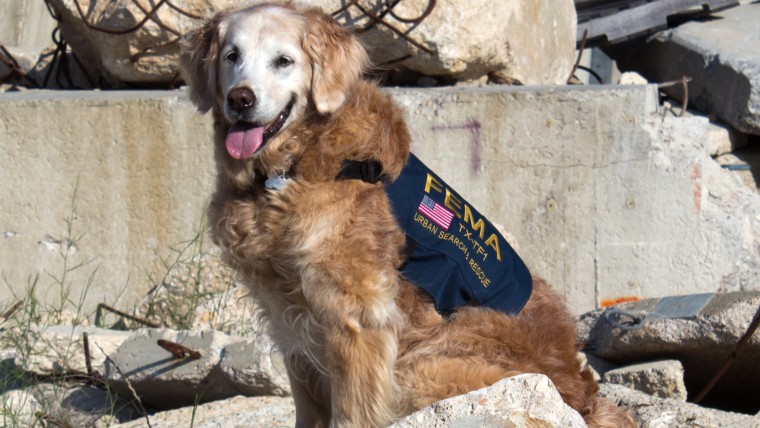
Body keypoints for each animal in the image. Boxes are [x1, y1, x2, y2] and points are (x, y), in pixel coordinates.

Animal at [180, 4, 636, 428]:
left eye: (283, 61)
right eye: (232, 56)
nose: (240, 99)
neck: (292, 167)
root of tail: (583, 397)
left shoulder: (357, 319)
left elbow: (351, 411)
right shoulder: (287, 317)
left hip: (421, 366)